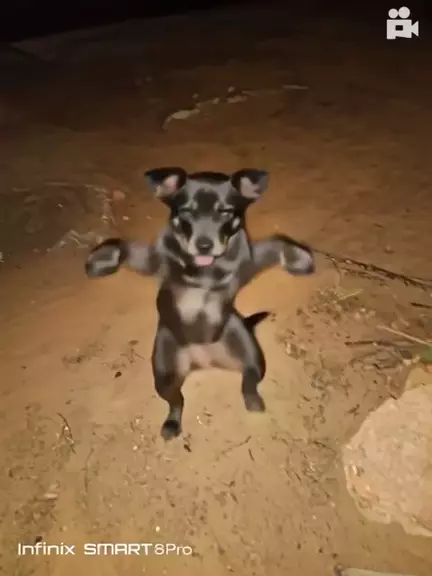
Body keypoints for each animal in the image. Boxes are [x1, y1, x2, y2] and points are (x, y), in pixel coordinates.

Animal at [85, 167, 315, 440]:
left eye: (225, 212)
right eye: (186, 211)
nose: (204, 244)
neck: (204, 269)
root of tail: (204, 361)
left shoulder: (247, 263)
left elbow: (277, 243)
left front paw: (298, 257)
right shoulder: (155, 261)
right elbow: (124, 248)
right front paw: (102, 258)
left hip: (248, 348)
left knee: (249, 379)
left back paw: (253, 400)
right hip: (164, 370)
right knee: (177, 401)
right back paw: (172, 424)